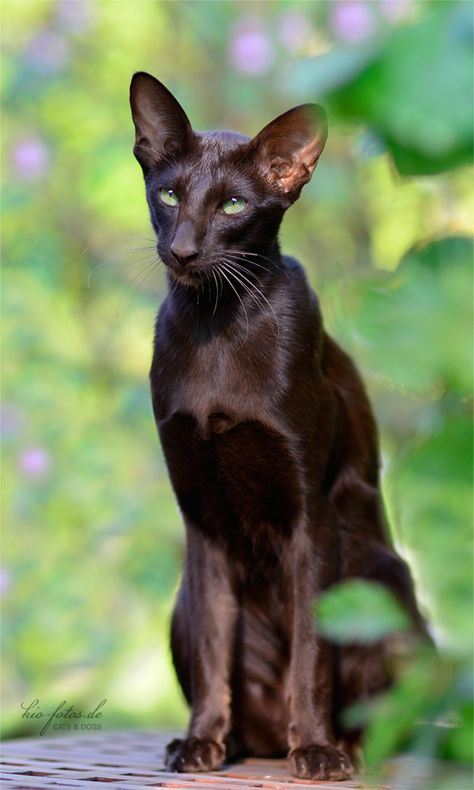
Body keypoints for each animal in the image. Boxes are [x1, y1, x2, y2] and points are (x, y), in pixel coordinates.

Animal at [129, 74, 426, 784]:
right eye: (169, 194)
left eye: (233, 205)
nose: (182, 250)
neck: (218, 327)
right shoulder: (202, 519)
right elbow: (214, 649)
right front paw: (201, 740)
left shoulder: (308, 515)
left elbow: (311, 651)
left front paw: (316, 748)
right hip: (180, 600)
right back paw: (236, 740)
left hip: (385, 581)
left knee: (383, 708)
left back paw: (344, 746)